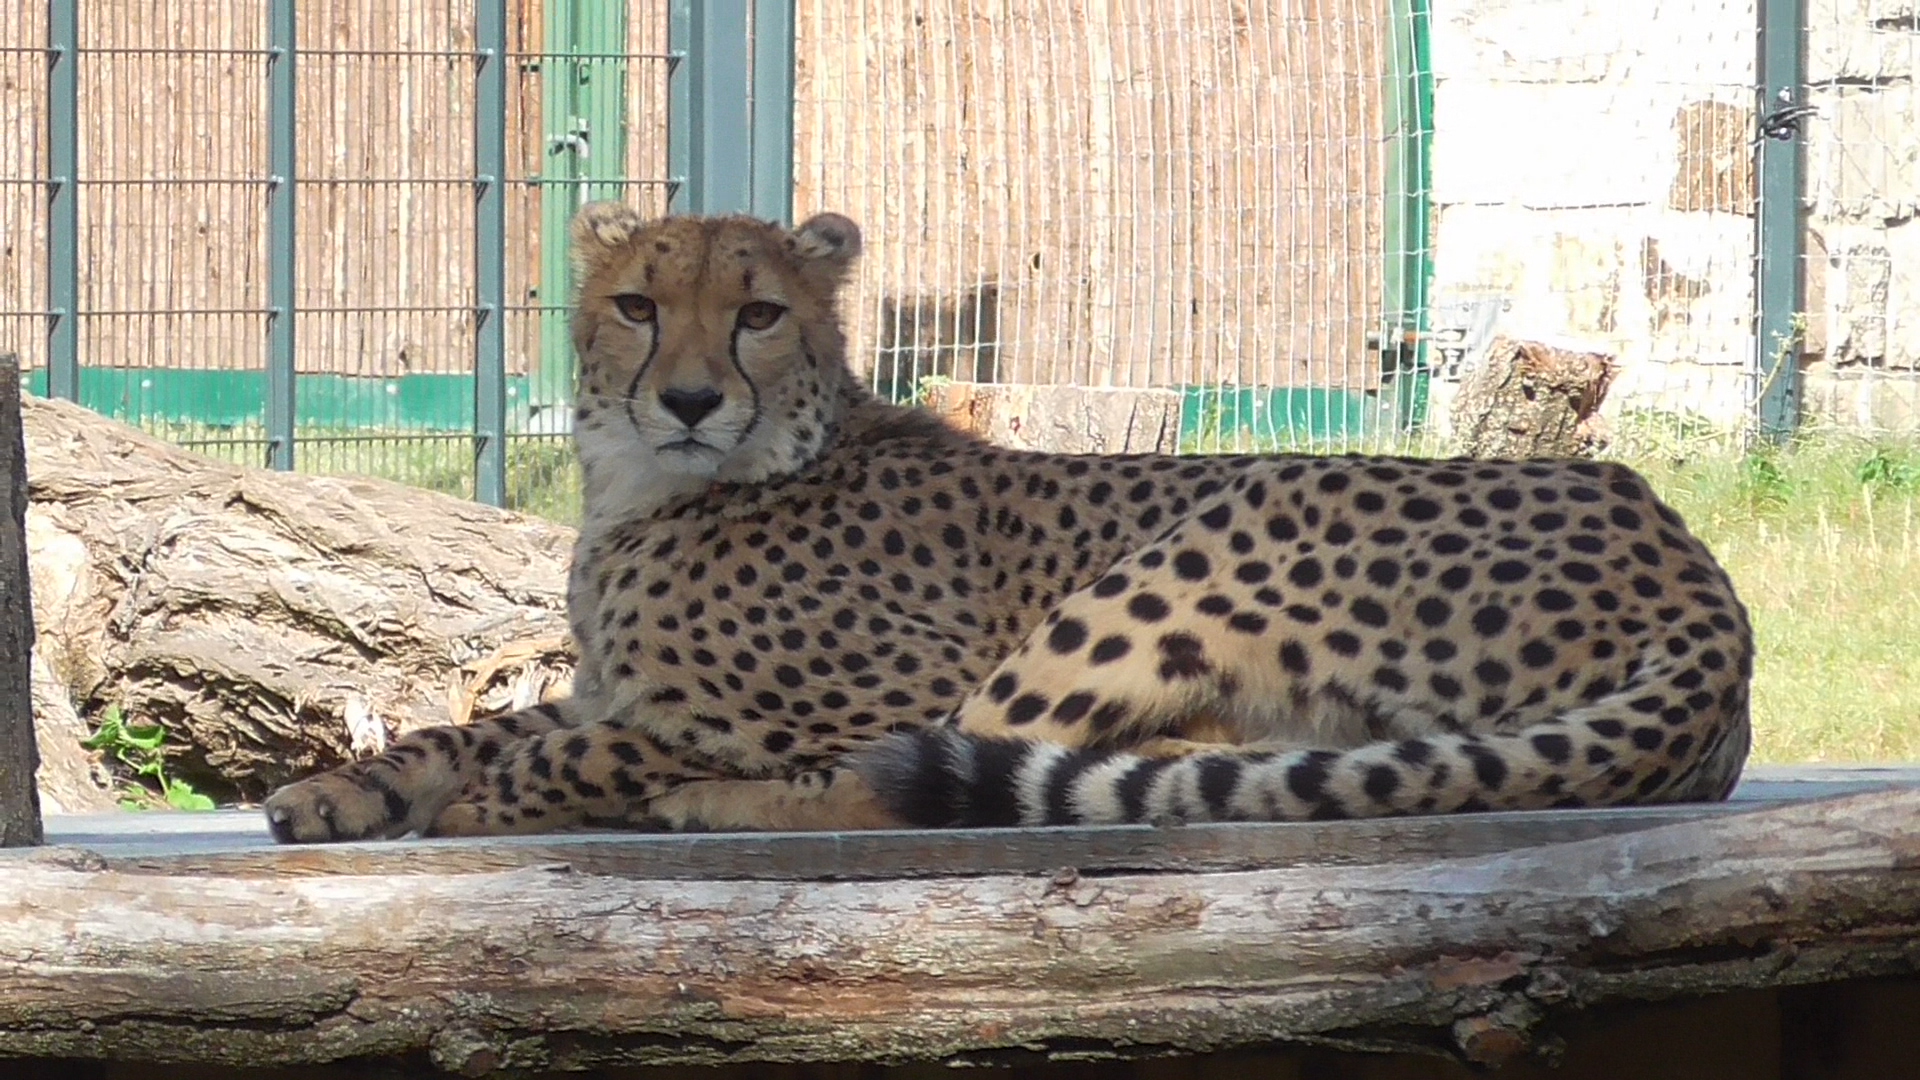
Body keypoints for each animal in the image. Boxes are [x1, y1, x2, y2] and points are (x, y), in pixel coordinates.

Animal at [263, 203, 1758, 841]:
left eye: (759, 313)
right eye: (639, 303)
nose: (688, 399)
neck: (653, 487)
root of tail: (1699, 578)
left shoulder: (882, 685)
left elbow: (585, 746)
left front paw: (500, 800)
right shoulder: (602, 681)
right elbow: (486, 724)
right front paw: (344, 789)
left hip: (1233, 516)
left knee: (921, 782)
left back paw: (707, 804)